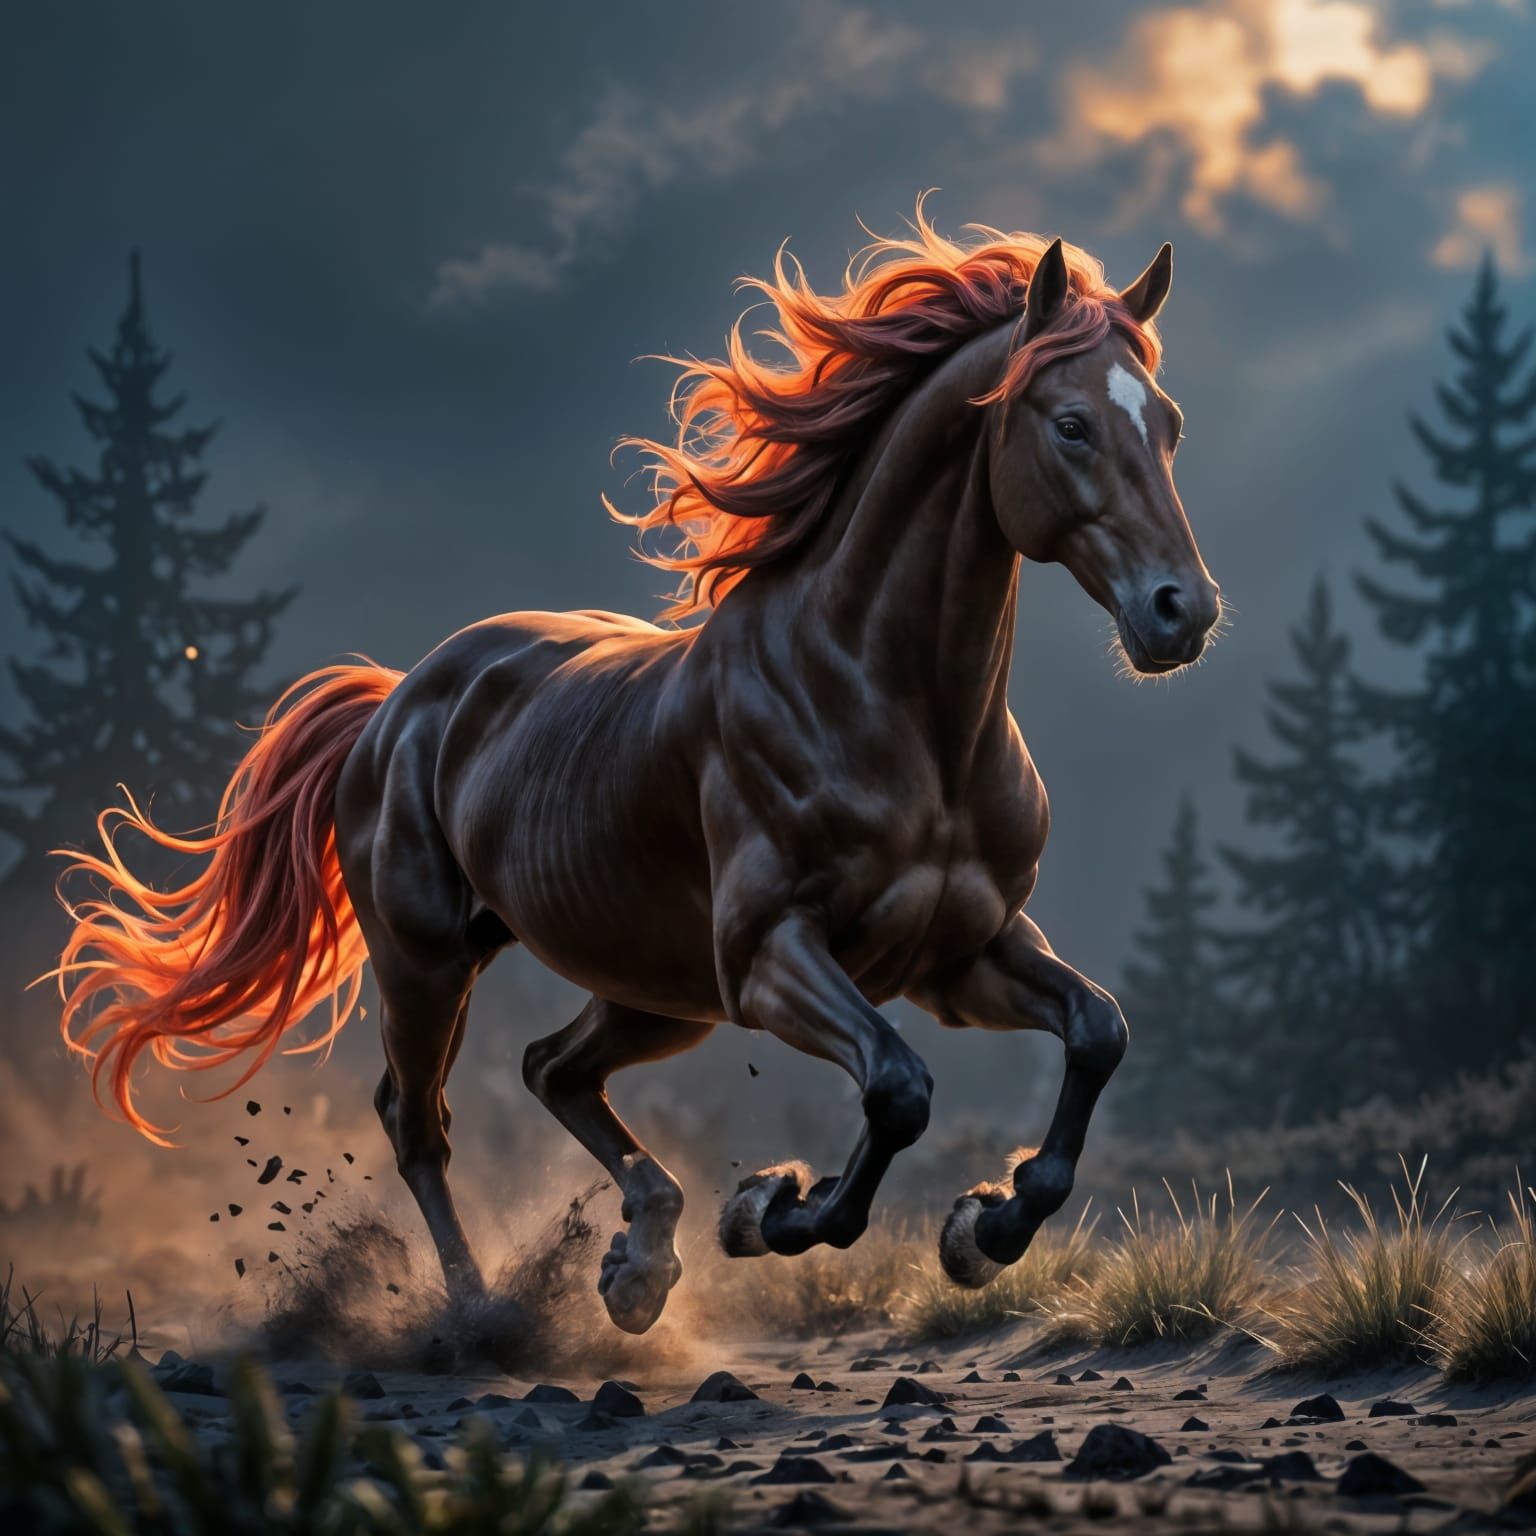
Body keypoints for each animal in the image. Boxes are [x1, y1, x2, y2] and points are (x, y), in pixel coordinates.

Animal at [54, 210, 1221, 1335]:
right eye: (1069, 423)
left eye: (1169, 424)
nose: (1184, 612)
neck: (894, 712)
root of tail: (392, 704)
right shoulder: (771, 958)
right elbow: (898, 1087)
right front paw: (773, 1211)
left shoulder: (960, 954)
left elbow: (1098, 1031)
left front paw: (986, 1226)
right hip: (431, 961)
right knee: (419, 1120)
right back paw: (485, 1312)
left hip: (657, 989)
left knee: (551, 1068)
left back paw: (640, 1261)